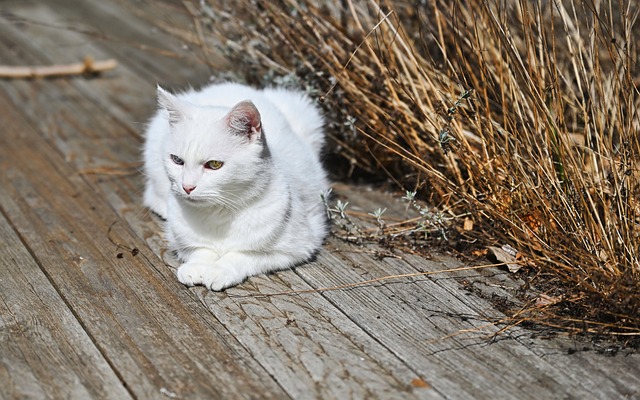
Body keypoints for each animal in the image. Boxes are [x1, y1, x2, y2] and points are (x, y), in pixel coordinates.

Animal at [142, 82, 328, 290]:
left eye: (214, 164)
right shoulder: (180, 241)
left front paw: (220, 270)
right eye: (177, 160)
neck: (219, 214)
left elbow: (244, 255)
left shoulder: (297, 247)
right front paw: (197, 266)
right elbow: (200, 249)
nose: (187, 186)